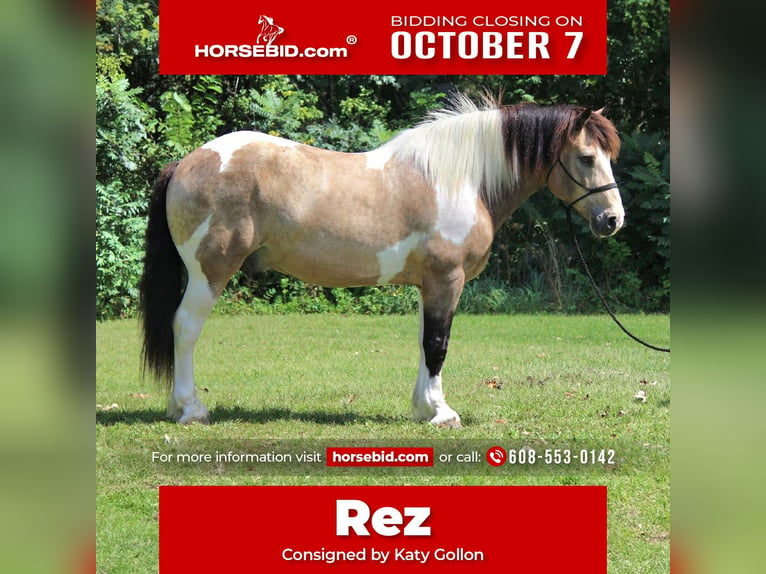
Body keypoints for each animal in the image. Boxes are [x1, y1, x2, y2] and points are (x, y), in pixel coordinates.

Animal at [140, 95, 624, 428]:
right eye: (586, 158)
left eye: (608, 156)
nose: (613, 219)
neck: (461, 180)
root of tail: (186, 162)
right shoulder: (447, 280)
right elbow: (438, 345)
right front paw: (442, 413)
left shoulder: (428, 284)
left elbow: (425, 344)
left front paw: (422, 408)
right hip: (209, 272)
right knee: (185, 327)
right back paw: (192, 409)